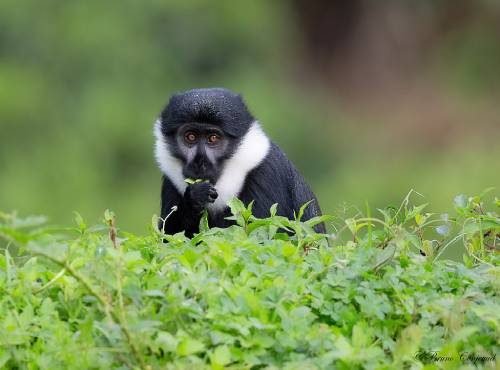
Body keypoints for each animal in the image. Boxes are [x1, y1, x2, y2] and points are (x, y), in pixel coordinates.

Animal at [153, 88, 324, 236]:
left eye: (213, 138)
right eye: (190, 137)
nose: (199, 162)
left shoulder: (267, 175)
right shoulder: (170, 182)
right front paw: (195, 198)